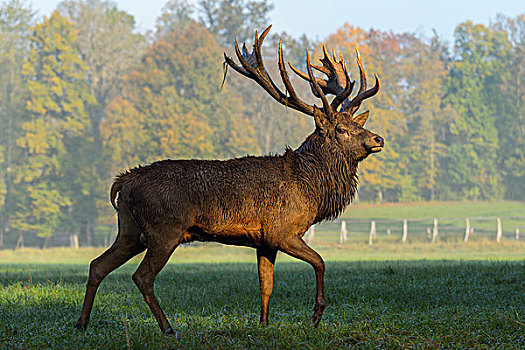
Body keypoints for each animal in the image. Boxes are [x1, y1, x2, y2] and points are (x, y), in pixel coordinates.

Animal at [73, 24, 382, 334]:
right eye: (341, 129)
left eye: (358, 124)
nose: (377, 138)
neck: (311, 188)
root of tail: (125, 181)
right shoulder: (282, 231)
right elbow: (320, 262)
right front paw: (316, 316)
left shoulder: (265, 241)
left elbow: (266, 285)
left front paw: (263, 324)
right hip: (164, 229)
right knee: (142, 276)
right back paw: (167, 327)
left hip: (129, 230)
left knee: (97, 264)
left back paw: (82, 323)